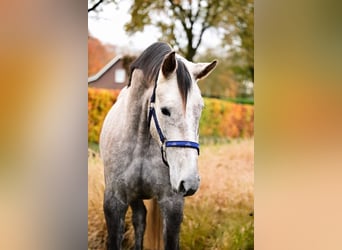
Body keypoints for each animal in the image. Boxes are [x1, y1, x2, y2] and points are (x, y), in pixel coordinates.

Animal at [99, 42, 216, 249]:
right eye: (165, 110)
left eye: (200, 109)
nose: (190, 182)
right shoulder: (114, 202)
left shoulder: (172, 204)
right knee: (139, 218)